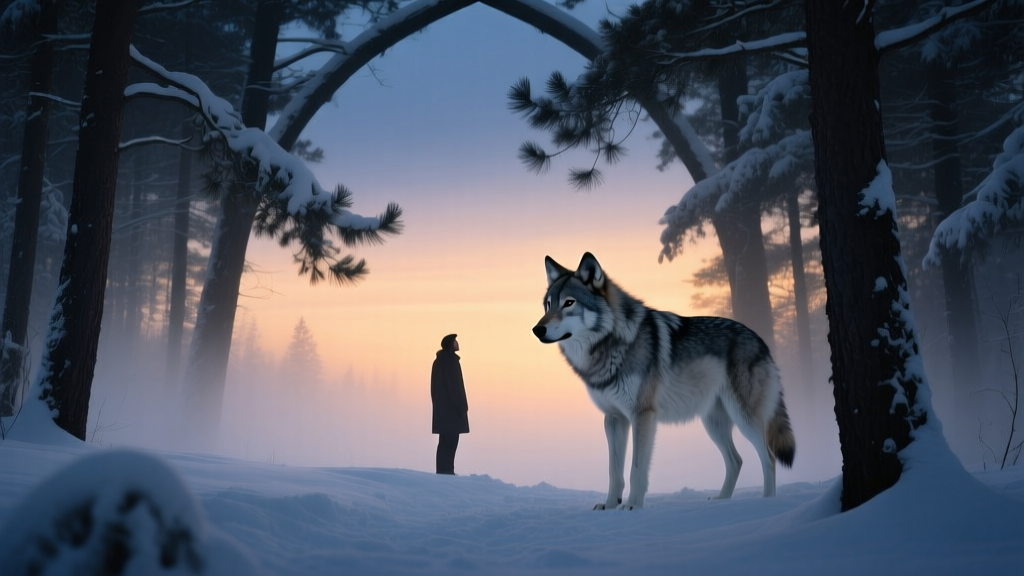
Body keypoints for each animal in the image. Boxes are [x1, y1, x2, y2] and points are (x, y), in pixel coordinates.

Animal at [532, 253, 795, 510]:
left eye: (569, 303)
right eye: (548, 305)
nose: (537, 329)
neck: (612, 344)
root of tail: (761, 340)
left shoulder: (642, 415)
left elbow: (636, 468)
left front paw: (632, 506)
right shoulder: (614, 418)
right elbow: (614, 471)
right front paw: (610, 505)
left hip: (744, 417)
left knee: (768, 457)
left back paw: (767, 502)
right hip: (713, 423)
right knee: (736, 460)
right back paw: (721, 500)